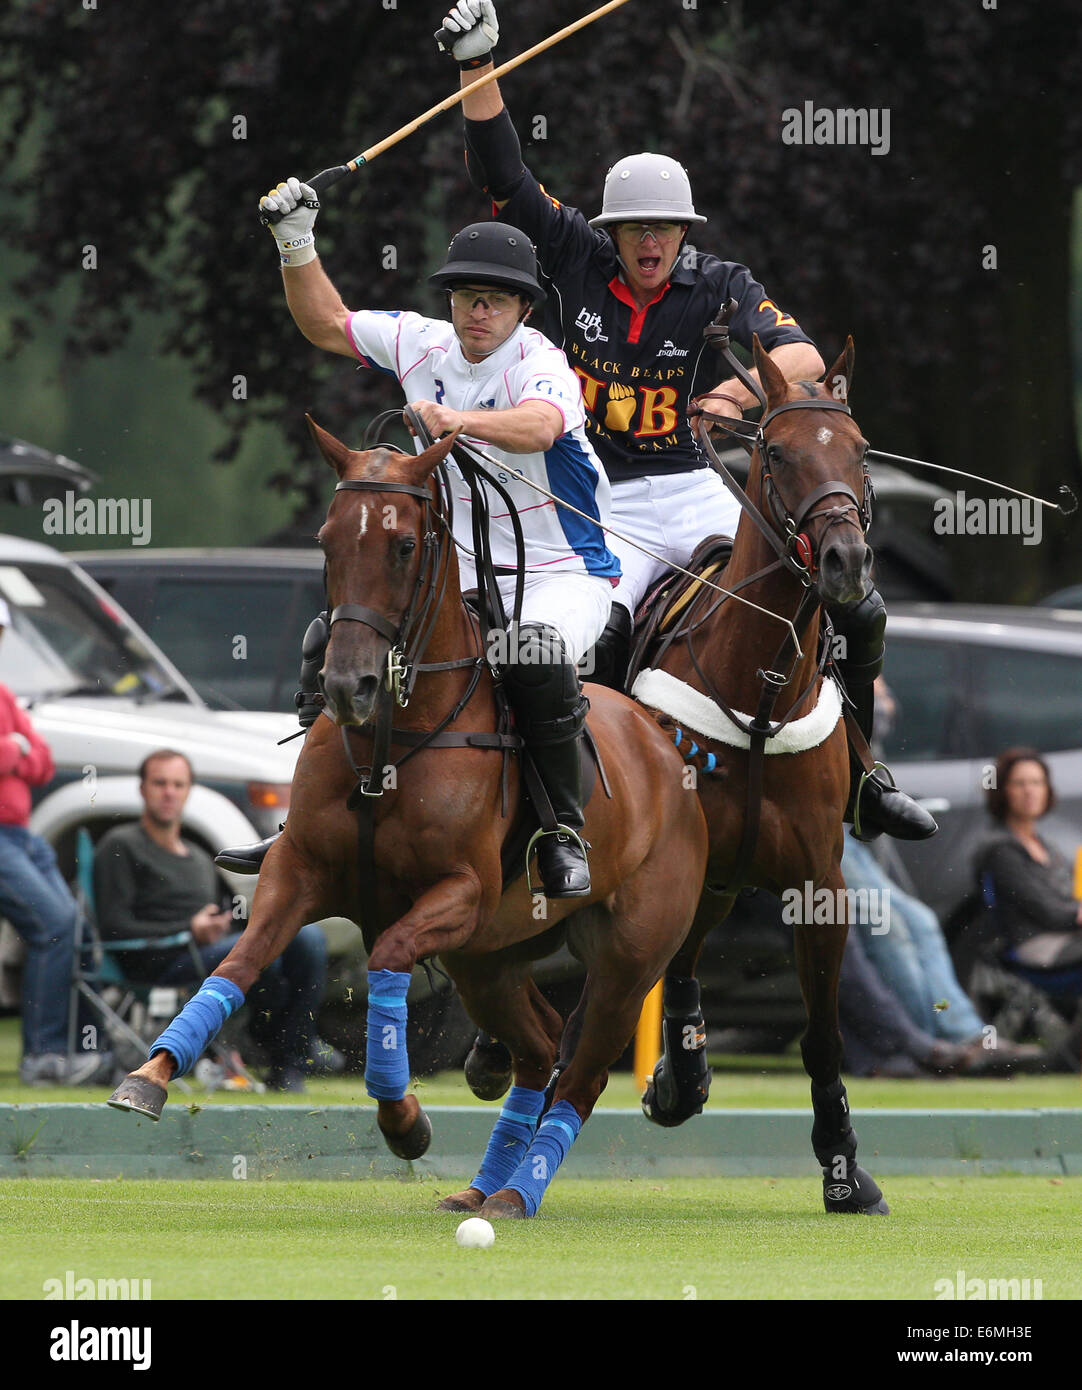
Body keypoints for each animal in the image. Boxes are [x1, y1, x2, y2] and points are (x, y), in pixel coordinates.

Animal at [111, 419, 709, 1217]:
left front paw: (404, 1121)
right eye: (328, 539)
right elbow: (239, 961)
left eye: (401, 545)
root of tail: (666, 746)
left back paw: (517, 1193)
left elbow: (389, 958)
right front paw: (148, 1077)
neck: (389, 742)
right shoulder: (299, 870)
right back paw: (483, 1188)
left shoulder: (459, 893)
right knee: (538, 1047)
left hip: (626, 959)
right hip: (489, 958)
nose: (348, 686)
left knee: (580, 1075)